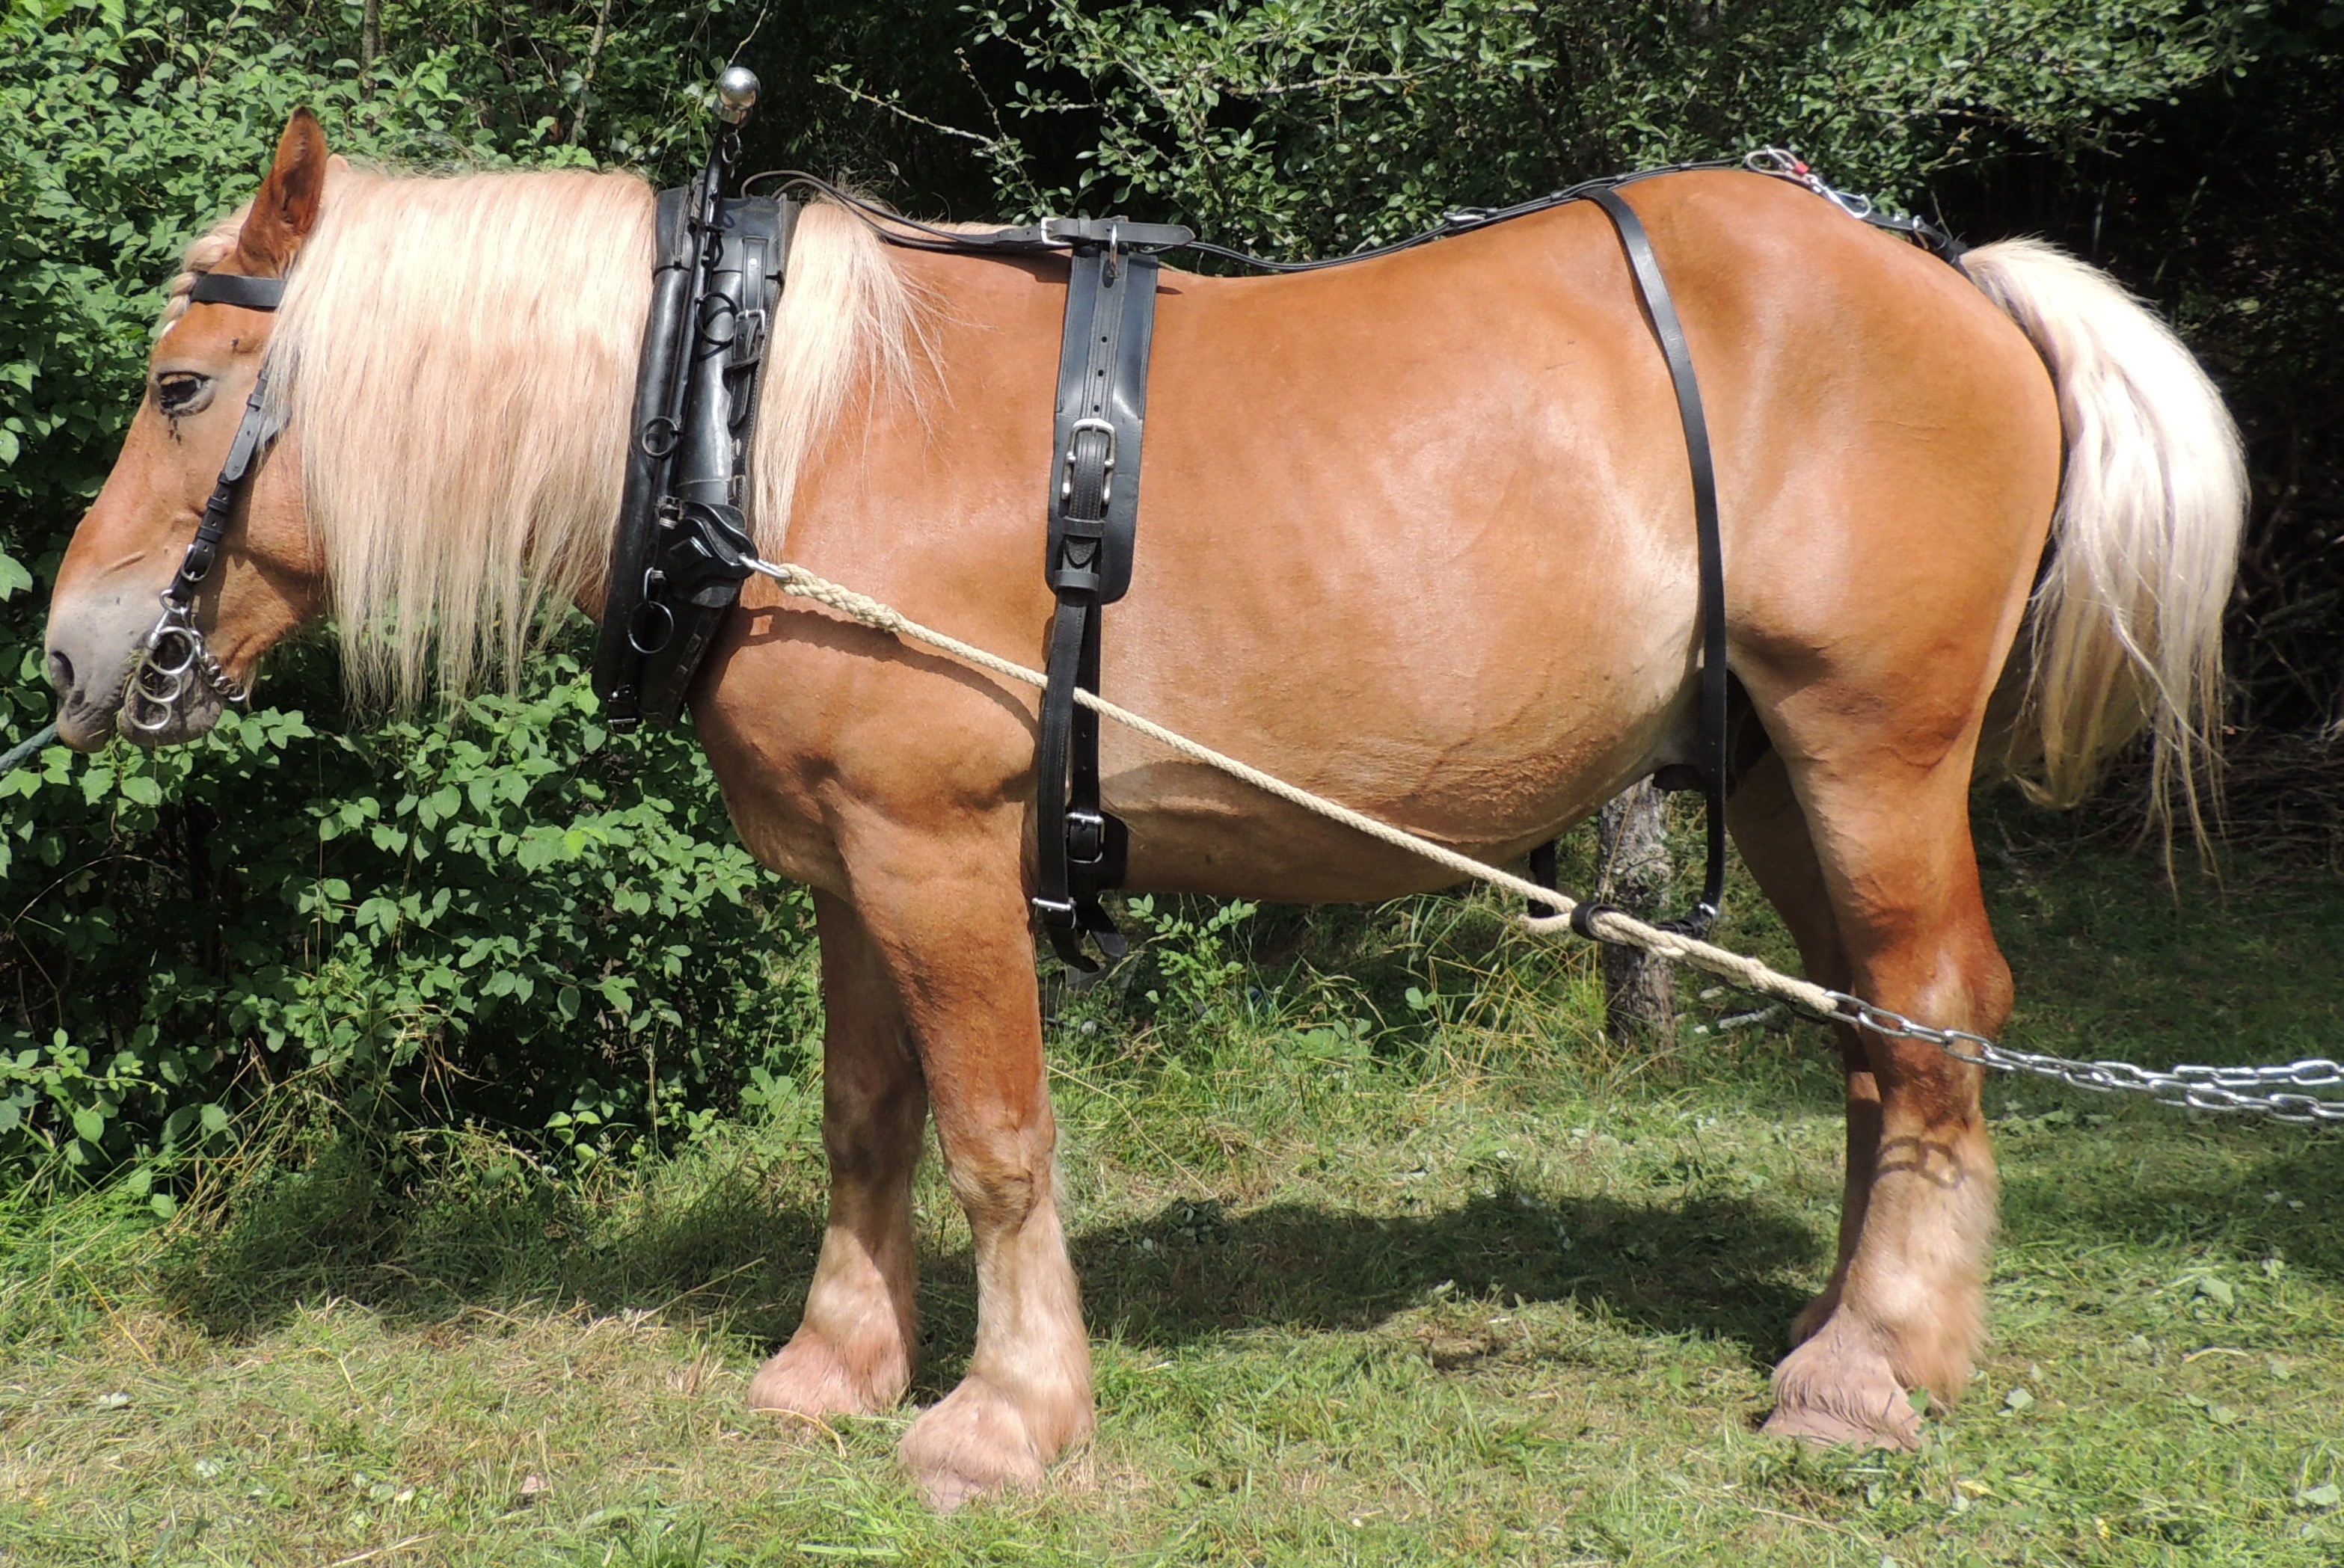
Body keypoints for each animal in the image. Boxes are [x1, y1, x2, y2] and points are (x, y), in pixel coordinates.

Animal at [44, 109, 2244, 1508]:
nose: (67, 657)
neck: (764, 421)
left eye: (178, 387)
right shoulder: (848, 866)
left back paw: (1873, 1374)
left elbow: (998, 1136)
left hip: (1871, 750)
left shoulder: (938, 848)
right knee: (1875, 1042)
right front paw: (831, 1371)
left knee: (1935, 1015)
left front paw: (1001, 1419)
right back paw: (1844, 1328)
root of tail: (1952, 276)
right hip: (1780, 771)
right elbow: (866, 1123)